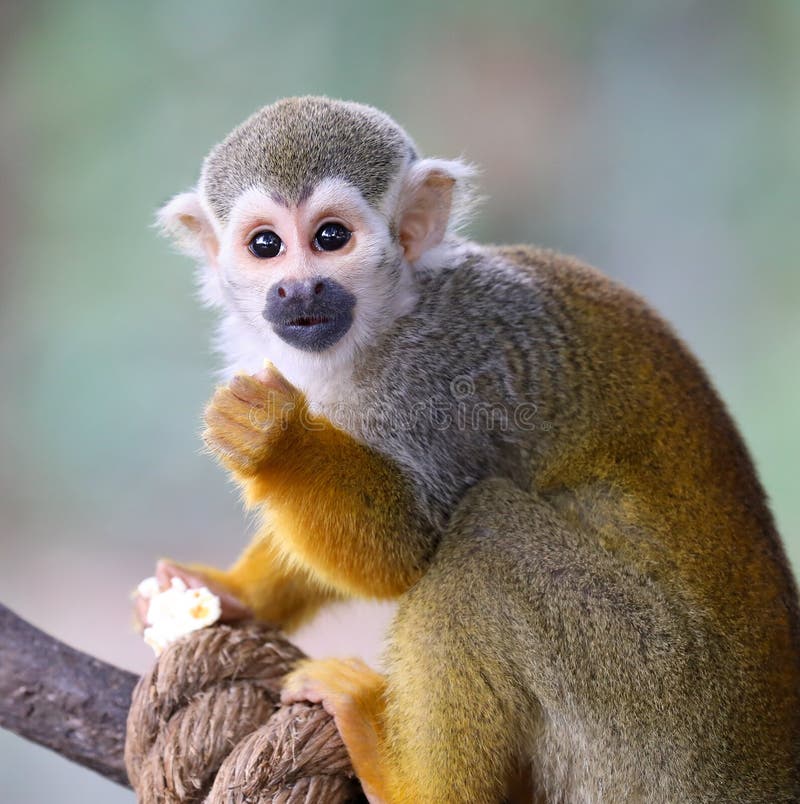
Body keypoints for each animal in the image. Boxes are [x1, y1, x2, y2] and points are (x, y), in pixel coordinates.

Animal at [152, 97, 800, 800]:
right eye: (265, 246)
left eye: (330, 237)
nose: (299, 291)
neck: (389, 320)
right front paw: (234, 592)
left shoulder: (445, 381)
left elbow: (405, 550)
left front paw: (278, 443)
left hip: (657, 702)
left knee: (483, 537)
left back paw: (401, 777)